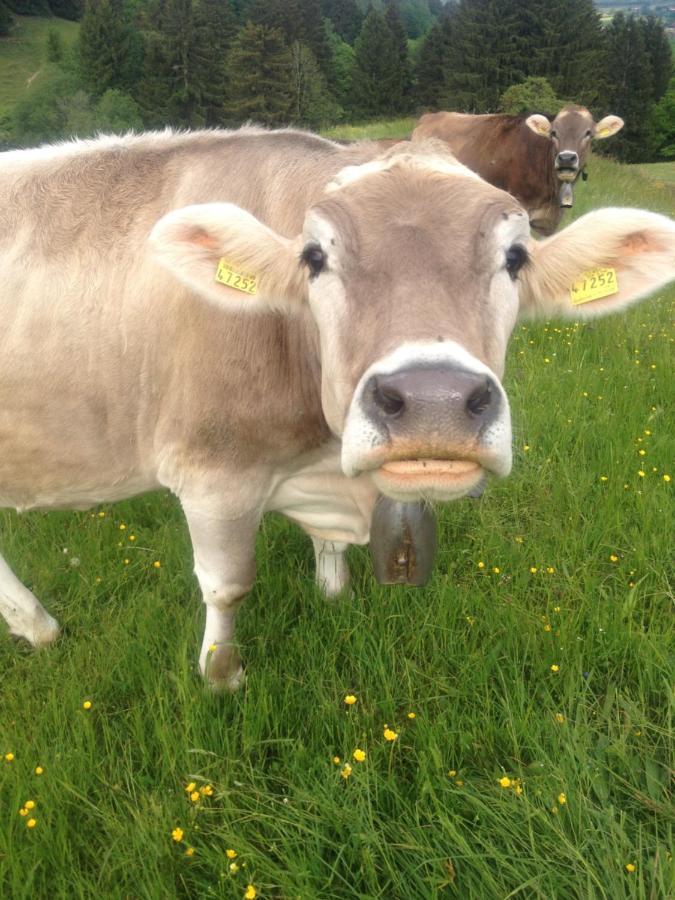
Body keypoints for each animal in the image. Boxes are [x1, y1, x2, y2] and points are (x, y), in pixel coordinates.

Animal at [1, 128, 675, 688]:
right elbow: (227, 588)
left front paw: (335, 594)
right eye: (315, 258)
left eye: (516, 257)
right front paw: (223, 678)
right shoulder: (211, 473)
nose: (434, 402)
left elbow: (330, 550)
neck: (320, 463)